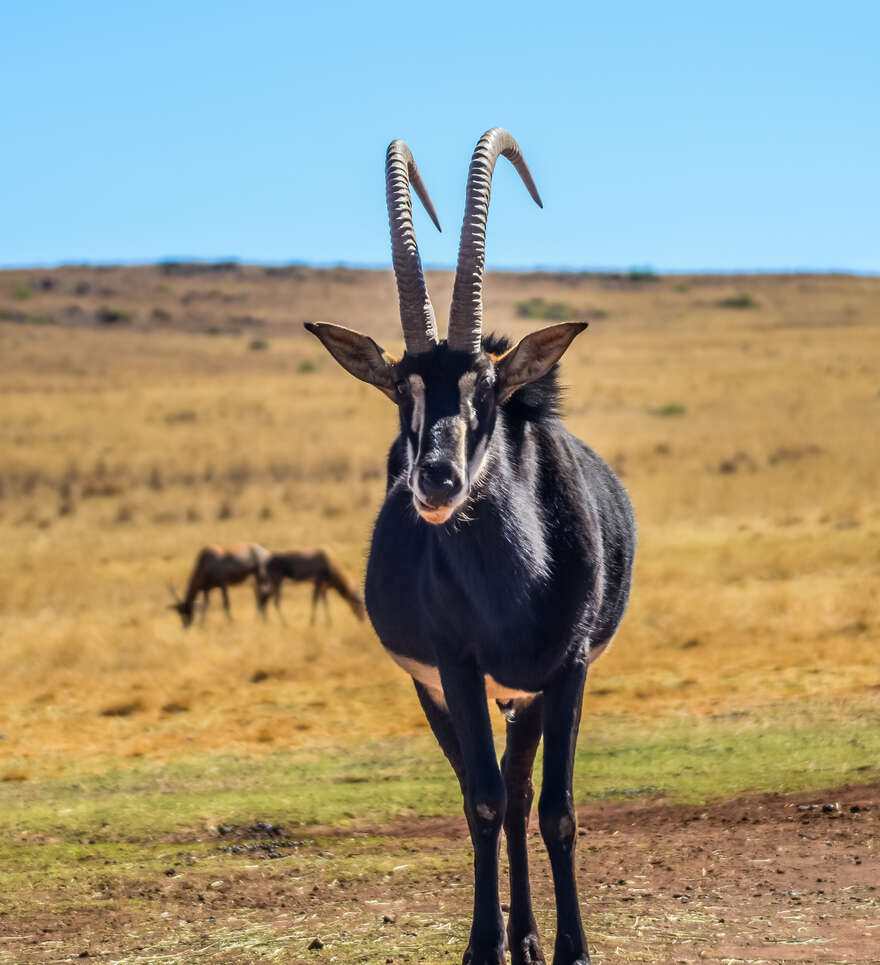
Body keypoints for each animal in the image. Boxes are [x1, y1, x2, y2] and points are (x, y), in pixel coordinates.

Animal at [306, 130, 636, 964]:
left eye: (485, 386)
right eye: (402, 388)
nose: (435, 478)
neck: (514, 585)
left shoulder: (568, 669)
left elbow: (555, 807)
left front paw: (572, 947)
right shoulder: (454, 667)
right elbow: (483, 802)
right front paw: (486, 945)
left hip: (523, 698)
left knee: (521, 795)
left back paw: (530, 935)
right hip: (446, 692)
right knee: (483, 794)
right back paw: (510, 935)